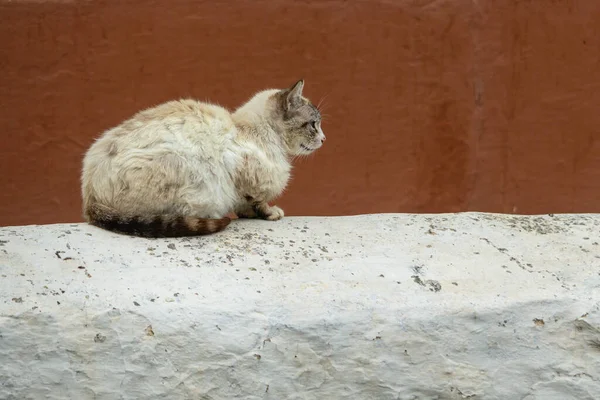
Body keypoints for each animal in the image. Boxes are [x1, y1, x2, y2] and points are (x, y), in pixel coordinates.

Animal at [80, 79, 326, 238]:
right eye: (314, 125)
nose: (324, 139)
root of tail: (90, 198)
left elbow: (244, 205)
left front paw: (248, 213)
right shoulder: (246, 178)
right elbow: (257, 202)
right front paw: (271, 213)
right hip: (183, 167)